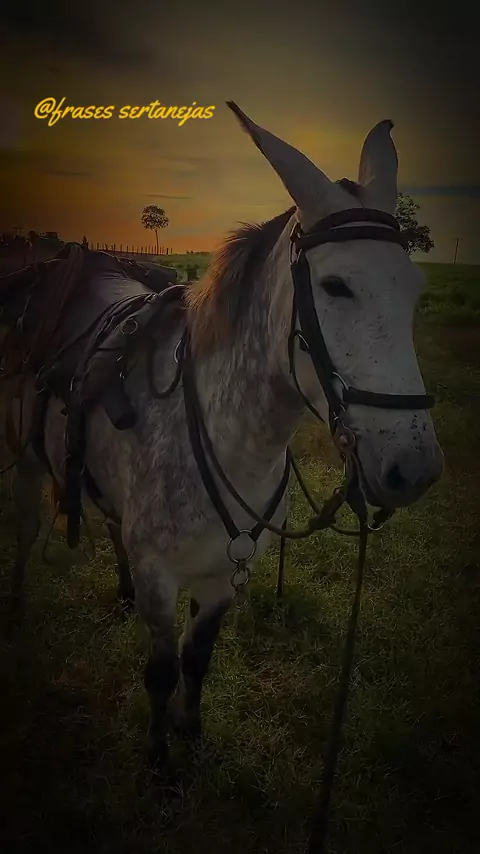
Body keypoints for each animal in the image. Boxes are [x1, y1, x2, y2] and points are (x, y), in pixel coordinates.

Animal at [4, 102, 443, 770]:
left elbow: (197, 658)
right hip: (26, 463)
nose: (413, 469)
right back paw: (20, 609)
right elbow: (161, 670)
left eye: (414, 291)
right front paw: (161, 760)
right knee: (25, 535)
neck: (228, 438)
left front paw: (191, 732)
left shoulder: (224, 581)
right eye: (337, 286)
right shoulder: (163, 580)